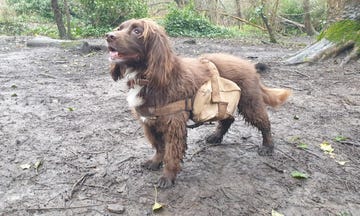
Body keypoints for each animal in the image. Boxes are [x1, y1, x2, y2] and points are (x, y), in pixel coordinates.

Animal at [105, 18, 292, 187]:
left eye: (137, 31)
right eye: (120, 27)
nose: (108, 36)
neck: (148, 78)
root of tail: (250, 65)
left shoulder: (174, 123)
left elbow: (171, 153)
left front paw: (168, 177)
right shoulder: (149, 121)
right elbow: (159, 147)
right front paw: (155, 162)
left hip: (249, 103)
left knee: (264, 123)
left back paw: (267, 146)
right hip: (223, 102)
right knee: (228, 118)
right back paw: (216, 136)